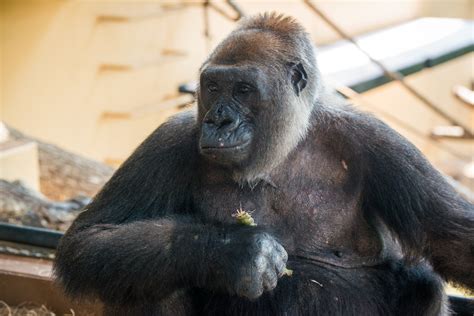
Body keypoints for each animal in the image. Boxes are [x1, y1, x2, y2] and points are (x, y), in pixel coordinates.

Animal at [55, 13, 474, 314]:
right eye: (213, 87)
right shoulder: (169, 140)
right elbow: (90, 241)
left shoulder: (380, 144)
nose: (219, 121)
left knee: (424, 284)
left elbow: (451, 237)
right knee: (147, 275)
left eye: (243, 90)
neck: (282, 151)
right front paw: (233, 252)